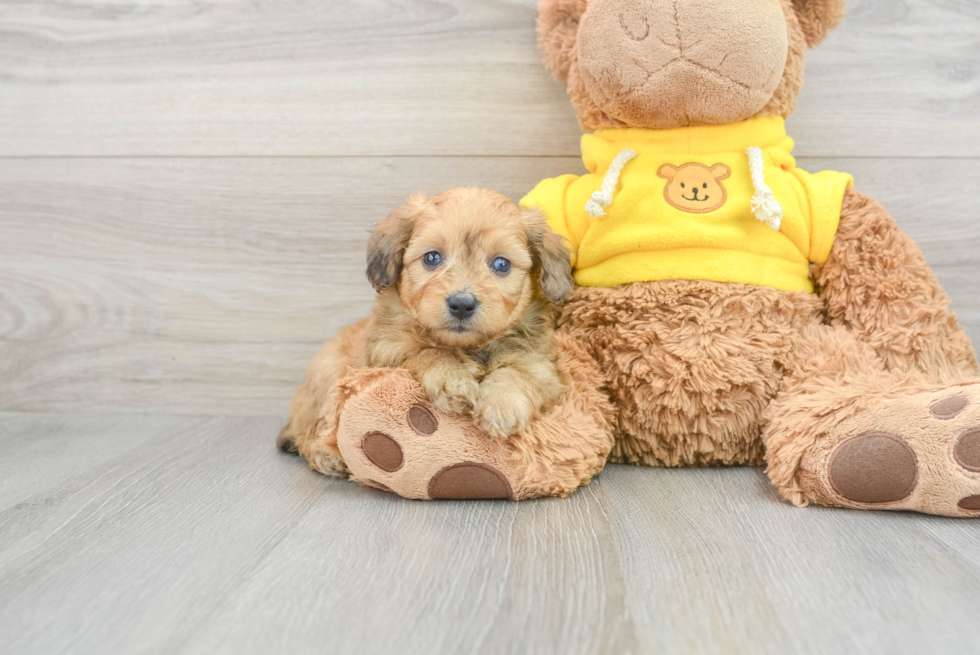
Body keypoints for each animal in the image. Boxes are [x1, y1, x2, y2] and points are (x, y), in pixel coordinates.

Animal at [278, 187, 576, 474]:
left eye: (501, 264)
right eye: (432, 258)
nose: (462, 304)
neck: (468, 346)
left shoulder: (541, 368)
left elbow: (517, 374)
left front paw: (501, 406)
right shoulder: (388, 350)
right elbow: (428, 351)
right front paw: (453, 380)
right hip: (327, 381)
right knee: (314, 430)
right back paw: (326, 455)